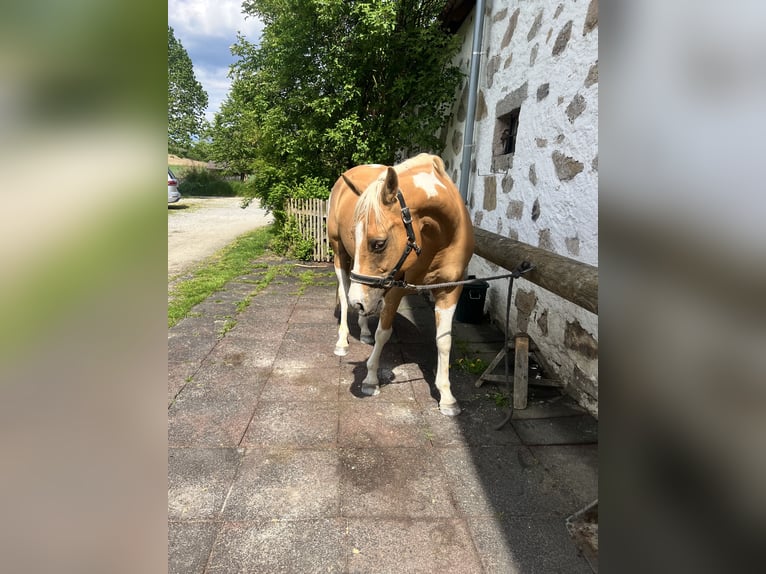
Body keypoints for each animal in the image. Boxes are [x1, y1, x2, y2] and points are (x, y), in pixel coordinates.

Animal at [327, 153, 474, 416]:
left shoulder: (450, 289)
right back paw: (342, 341)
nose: (358, 302)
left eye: (378, 243)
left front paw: (447, 396)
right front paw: (370, 379)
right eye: (356, 235)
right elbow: (383, 333)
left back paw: (363, 330)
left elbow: (444, 341)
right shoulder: (396, 287)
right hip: (340, 254)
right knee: (344, 297)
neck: (440, 235)